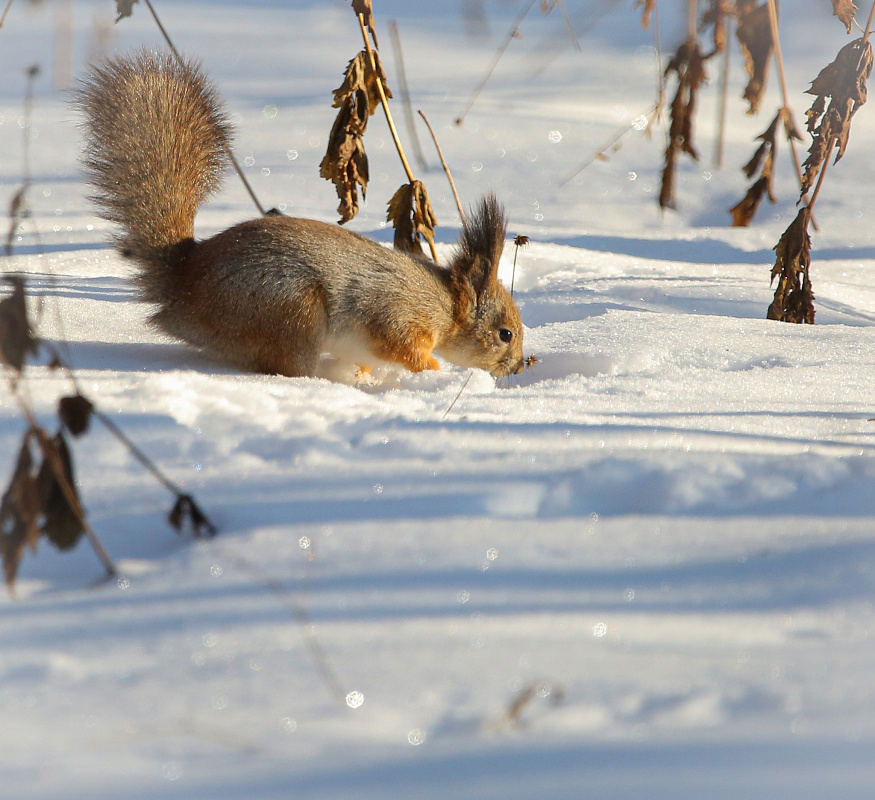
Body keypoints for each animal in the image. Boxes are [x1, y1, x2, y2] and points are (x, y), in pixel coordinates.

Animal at [75, 50, 524, 382]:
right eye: (505, 334)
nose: (518, 367)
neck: (446, 304)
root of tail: (183, 284)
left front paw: (363, 377)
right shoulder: (397, 316)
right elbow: (403, 348)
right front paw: (431, 373)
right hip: (291, 314)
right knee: (287, 367)